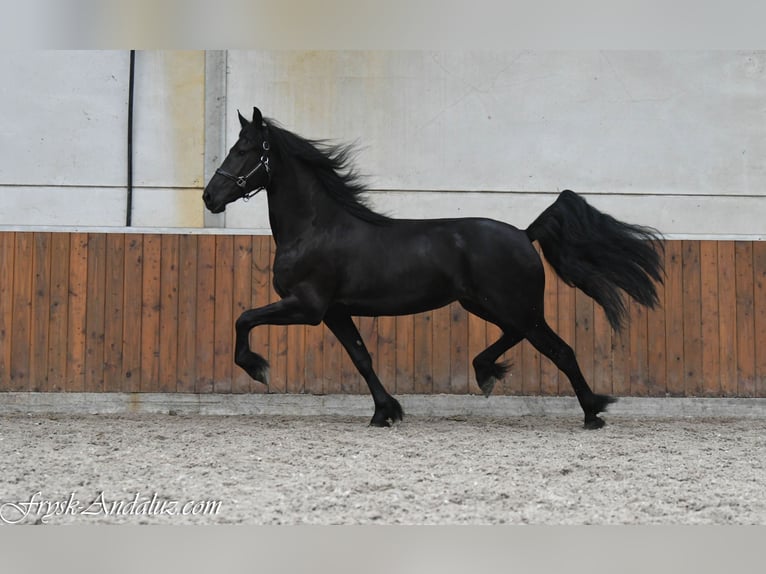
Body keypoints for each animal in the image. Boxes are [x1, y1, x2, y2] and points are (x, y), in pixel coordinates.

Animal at [203, 107, 664, 429]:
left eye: (244, 150)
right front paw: (385, 412)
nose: (210, 197)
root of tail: (523, 232)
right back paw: (486, 373)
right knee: (518, 338)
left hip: (516, 307)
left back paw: (593, 412)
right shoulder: (334, 312)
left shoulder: (307, 306)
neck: (316, 227)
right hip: (489, 305)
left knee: (561, 350)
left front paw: (257, 367)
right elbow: (361, 357)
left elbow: (244, 318)